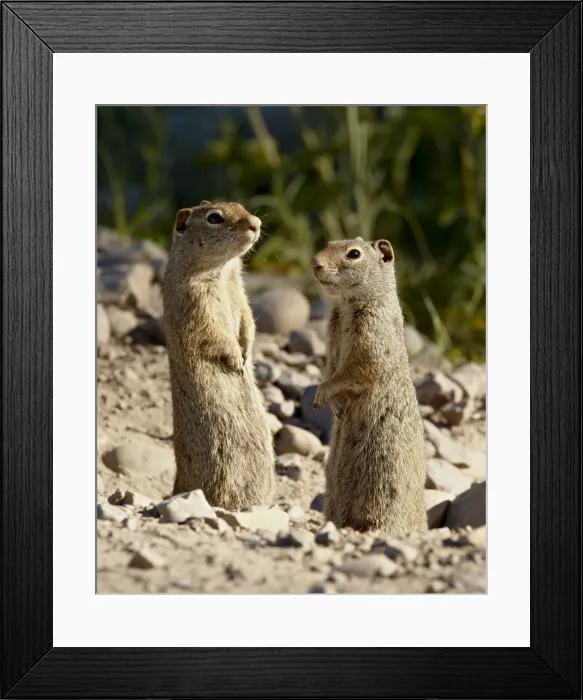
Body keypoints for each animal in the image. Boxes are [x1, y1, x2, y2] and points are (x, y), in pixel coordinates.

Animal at [162, 200, 274, 509]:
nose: (256, 223)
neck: (223, 272)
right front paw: (236, 359)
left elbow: (248, 319)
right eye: (214, 218)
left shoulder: (240, 292)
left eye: (241, 206)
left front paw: (247, 352)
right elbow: (213, 334)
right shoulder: (196, 304)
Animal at [311, 237, 428, 533]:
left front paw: (324, 393)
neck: (346, 303)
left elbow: (355, 370)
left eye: (354, 254)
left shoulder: (371, 337)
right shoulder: (331, 339)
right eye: (328, 242)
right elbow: (331, 367)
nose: (315, 263)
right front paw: (332, 403)